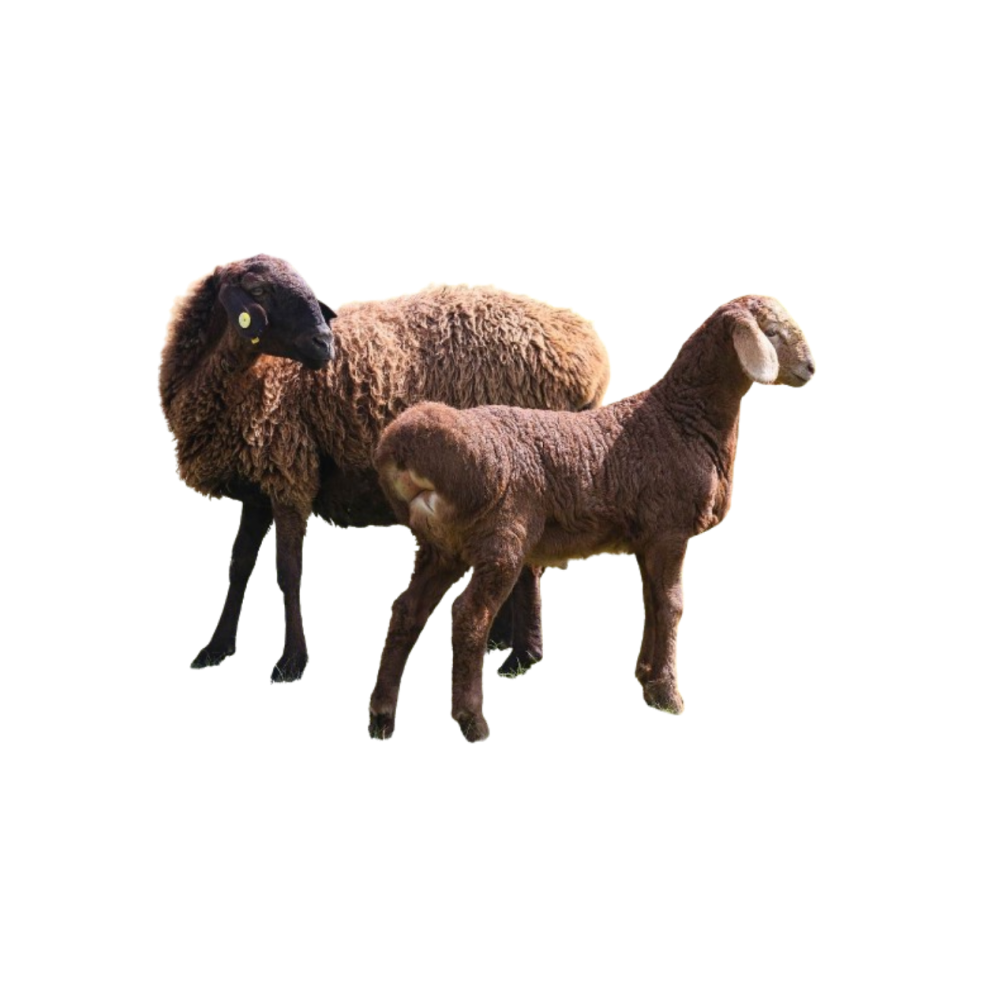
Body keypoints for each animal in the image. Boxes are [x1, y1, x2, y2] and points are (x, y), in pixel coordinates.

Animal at [160, 254, 611, 683]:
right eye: (257, 289)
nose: (324, 343)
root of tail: (587, 350)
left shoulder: (290, 474)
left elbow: (288, 572)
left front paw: (291, 662)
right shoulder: (257, 484)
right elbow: (239, 565)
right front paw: (215, 648)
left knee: (528, 565)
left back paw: (521, 656)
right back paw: (499, 640)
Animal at [370, 294, 815, 741]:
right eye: (771, 331)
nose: (811, 368)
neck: (680, 419)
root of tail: (409, 450)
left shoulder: (647, 539)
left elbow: (650, 601)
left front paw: (646, 678)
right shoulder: (669, 530)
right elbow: (672, 605)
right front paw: (669, 694)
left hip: (441, 547)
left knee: (407, 611)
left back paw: (382, 716)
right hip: (502, 540)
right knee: (468, 616)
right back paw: (472, 721)